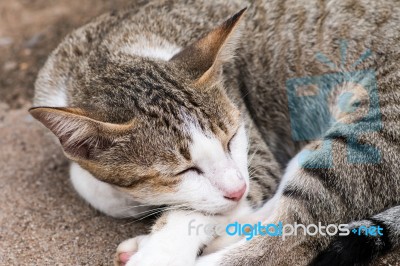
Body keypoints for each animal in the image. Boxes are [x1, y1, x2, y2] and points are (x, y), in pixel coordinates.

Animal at [30, 0, 400, 266]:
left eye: (232, 138)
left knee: (288, 239)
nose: (237, 189)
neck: (112, 52)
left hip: (368, 133)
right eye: (182, 171)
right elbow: (90, 182)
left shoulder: (257, 160)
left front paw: (160, 249)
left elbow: (200, 210)